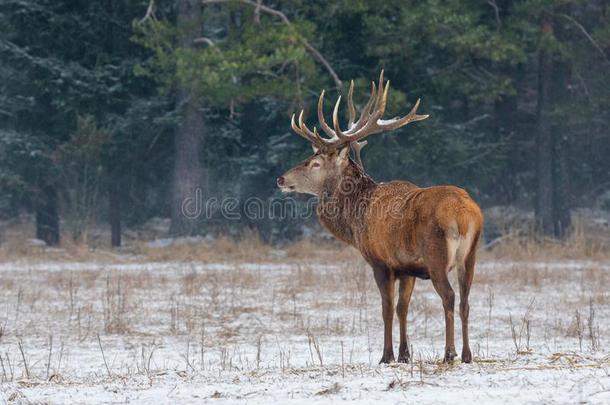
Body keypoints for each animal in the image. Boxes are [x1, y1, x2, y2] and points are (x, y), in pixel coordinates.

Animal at [276, 70, 480, 362]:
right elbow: (403, 307)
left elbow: (386, 308)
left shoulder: (380, 262)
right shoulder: (406, 267)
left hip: (436, 256)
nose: (280, 179)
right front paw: (405, 354)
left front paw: (386, 356)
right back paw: (466, 354)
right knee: (465, 300)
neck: (356, 218)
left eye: (315, 163)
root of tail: (465, 216)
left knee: (449, 297)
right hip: (470, 256)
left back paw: (449, 353)